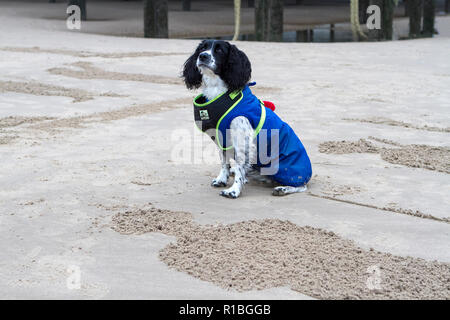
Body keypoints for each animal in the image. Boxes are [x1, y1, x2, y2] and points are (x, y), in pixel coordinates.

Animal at [181, 40, 312, 198]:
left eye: (219, 50)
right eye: (202, 48)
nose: (203, 56)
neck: (218, 89)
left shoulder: (242, 138)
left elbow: (239, 164)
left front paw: (234, 190)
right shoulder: (222, 137)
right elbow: (224, 161)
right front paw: (222, 179)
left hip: (285, 169)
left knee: (301, 185)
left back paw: (283, 188)